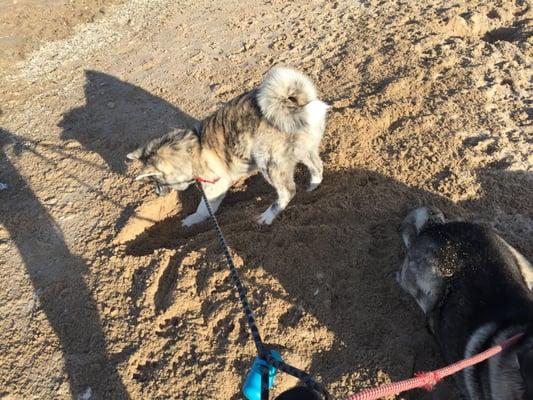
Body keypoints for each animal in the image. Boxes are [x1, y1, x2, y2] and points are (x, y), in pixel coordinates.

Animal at [129, 67, 328, 227]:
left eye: (157, 181)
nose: (157, 194)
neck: (192, 150)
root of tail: (293, 106)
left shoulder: (216, 186)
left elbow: (204, 208)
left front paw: (191, 220)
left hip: (268, 161)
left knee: (287, 191)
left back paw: (267, 217)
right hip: (304, 150)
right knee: (317, 168)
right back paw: (312, 188)